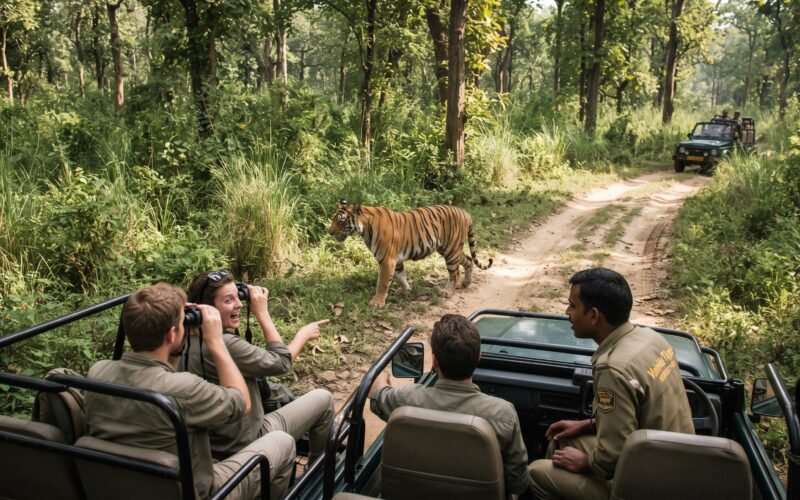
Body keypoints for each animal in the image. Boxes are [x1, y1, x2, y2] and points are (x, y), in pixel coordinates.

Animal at [328, 199, 493, 307]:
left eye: (341, 221)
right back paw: (466, 283)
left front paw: (377, 302)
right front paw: (406, 291)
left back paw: (449, 292)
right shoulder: (396, 260)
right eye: (333, 220)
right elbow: (401, 276)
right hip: (450, 249)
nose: (330, 232)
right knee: (468, 260)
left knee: (455, 273)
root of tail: (465, 212)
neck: (365, 229)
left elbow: (382, 282)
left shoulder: (387, 260)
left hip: (451, 250)